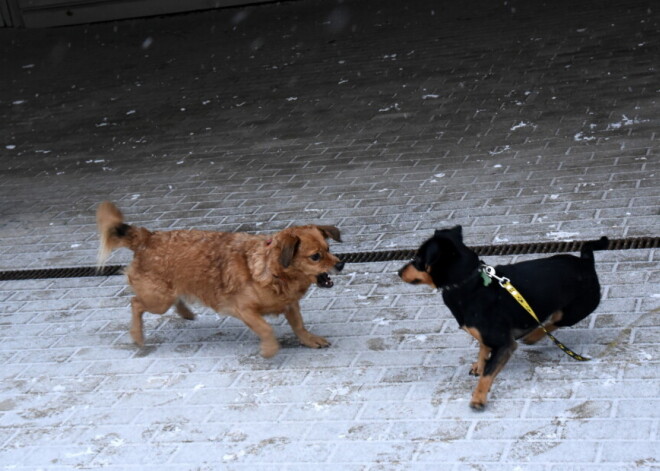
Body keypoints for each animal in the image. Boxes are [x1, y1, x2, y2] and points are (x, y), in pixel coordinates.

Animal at [99, 202, 346, 358]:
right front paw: (269, 349)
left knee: (172, 299)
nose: (341, 264)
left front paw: (309, 339)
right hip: (158, 300)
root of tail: (148, 237)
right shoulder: (244, 310)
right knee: (135, 303)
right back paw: (137, 335)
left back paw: (185, 312)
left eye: (329, 249)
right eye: (315, 256)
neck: (272, 272)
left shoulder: (291, 304)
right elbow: (266, 328)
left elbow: (299, 325)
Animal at [398, 227, 608, 412]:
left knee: (555, 322)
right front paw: (479, 365)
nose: (398, 272)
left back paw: (531, 336)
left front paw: (478, 399)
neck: (469, 283)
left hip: (576, 310)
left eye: (418, 259)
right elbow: (482, 349)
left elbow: (488, 374)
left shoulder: (504, 343)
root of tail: (586, 262)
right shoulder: (485, 335)